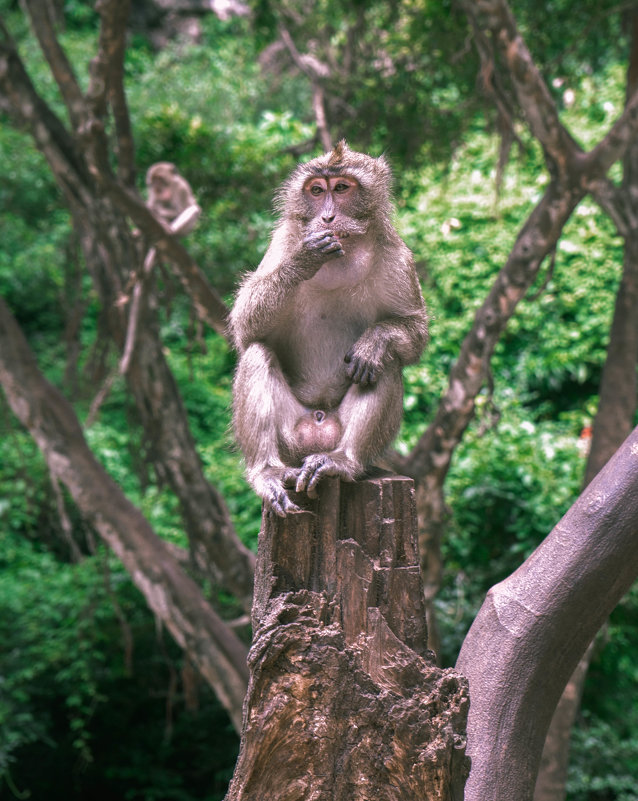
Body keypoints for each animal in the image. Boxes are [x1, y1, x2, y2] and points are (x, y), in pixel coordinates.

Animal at [230, 141, 430, 516]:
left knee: (383, 363)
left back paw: (342, 461)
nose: (327, 217)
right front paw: (304, 259)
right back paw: (266, 471)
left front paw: (376, 339)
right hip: (291, 440)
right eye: (316, 190)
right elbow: (246, 325)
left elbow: (413, 334)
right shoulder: (283, 240)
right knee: (256, 353)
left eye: (341, 188)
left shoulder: (396, 255)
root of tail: (318, 426)